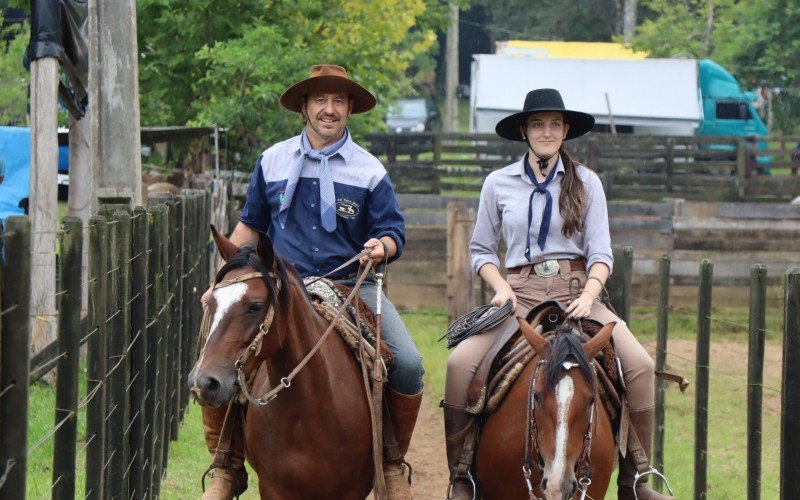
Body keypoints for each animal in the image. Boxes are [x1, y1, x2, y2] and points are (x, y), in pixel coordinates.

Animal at [188, 229, 376, 498]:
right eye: (210, 303)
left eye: (255, 306)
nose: (203, 383)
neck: (312, 409)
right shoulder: (273, 488)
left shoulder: (352, 490)